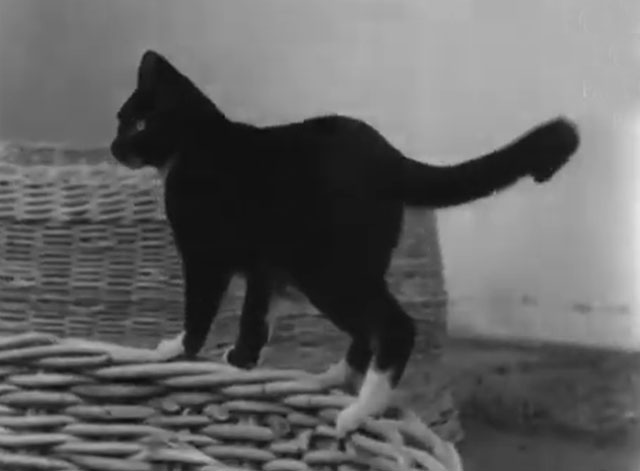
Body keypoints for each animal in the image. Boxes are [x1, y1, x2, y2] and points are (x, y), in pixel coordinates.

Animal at [111, 49, 580, 436]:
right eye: (121, 120)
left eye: (138, 123)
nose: (114, 146)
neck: (195, 142)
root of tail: (392, 157)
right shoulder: (266, 265)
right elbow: (255, 316)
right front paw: (242, 361)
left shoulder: (205, 254)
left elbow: (200, 308)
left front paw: (176, 350)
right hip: (344, 265)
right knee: (365, 330)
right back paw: (328, 379)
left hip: (327, 269)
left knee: (393, 326)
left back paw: (359, 410)